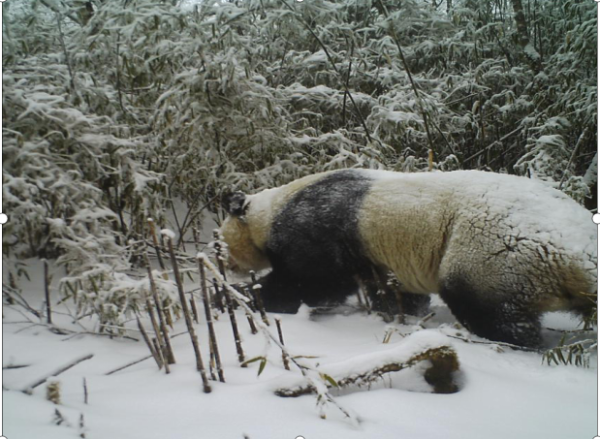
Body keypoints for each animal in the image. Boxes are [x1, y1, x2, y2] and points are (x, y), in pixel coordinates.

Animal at [219, 170, 596, 348]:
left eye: (222, 243)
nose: (228, 264)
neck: (269, 211)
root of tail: (578, 251)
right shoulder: (375, 255)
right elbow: (389, 290)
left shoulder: (317, 227)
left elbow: (313, 283)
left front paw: (242, 297)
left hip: (494, 250)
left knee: (488, 306)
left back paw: (507, 341)